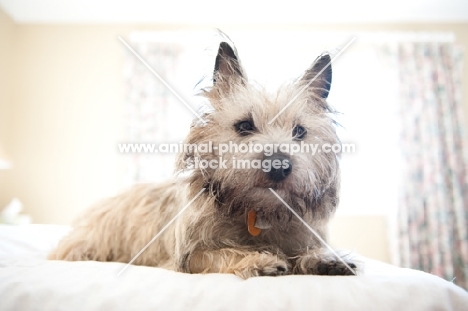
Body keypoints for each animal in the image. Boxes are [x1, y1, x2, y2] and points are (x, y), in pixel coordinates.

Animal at [49, 35, 356, 280]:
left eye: (299, 131)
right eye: (244, 126)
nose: (279, 166)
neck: (256, 212)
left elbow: (308, 250)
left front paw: (325, 258)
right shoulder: (191, 256)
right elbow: (220, 254)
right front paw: (257, 259)